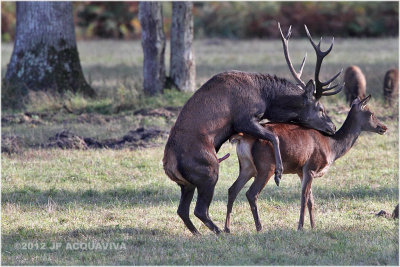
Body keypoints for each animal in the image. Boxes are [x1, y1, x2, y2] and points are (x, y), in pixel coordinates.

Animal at [162, 24, 344, 236]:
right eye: (320, 108)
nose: (332, 127)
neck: (266, 97)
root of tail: (170, 165)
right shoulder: (244, 118)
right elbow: (273, 136)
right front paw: (278, 173)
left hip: (187, 183)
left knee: (182, 210)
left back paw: (200, 233)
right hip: (208, 170)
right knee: (200, 209)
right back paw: (220, 231)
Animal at [223, 95, 386, 233]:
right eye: (370, 113)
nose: (384, 127)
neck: (332, 146)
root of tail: (242, 138)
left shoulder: (301, 171)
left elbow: (311, 201)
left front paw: (313, 227)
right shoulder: (311, 167)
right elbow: (304, 197)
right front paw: (300, 227)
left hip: (247, 167)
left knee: (232, 189)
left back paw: (227, 228)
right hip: (266, 167)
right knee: (251, 193)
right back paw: (259, 228)